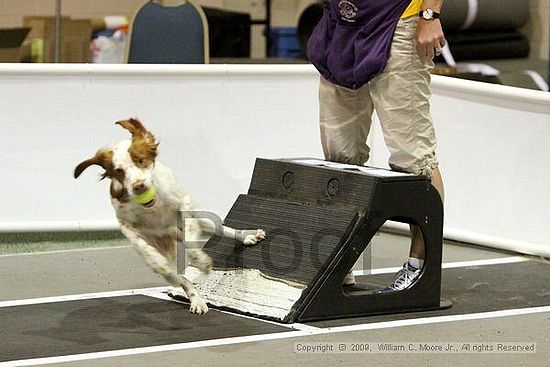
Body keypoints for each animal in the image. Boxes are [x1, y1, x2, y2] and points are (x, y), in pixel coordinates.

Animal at [75, 119, 268, 314]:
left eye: (141, 160)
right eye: (119, 171)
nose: (139, 186)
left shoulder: (183, 204)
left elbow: (192, 243)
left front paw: (201, 261)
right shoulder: (126, 224)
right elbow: (145, 250)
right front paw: (160, 264)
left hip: (202, 219)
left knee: (222, 229)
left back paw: (249, 236)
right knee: (182, 279)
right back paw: (196, 299)